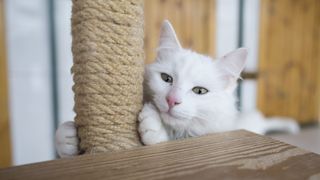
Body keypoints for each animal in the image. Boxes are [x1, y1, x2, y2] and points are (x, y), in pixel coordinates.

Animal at [55, 20, 300, 158]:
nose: (172, 100)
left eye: (199, 91)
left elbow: (159, 139)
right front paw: (68, 136)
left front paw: (152, 123)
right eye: (166, 79)